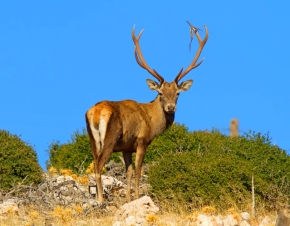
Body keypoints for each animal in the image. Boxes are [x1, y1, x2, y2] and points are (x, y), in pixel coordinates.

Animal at [84, 21, 208, 202]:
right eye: (160, 93)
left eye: (177, 93)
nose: (171, 107)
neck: (152, 122)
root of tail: (96, 112)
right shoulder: (142, 140)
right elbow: (138, 171)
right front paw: (137, 197)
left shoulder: (127, 147)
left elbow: (128, 172)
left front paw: (128, 198)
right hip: (110, 138)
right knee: (99, 165)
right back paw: (100, 199)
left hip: (93, 139)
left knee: (94, 162)